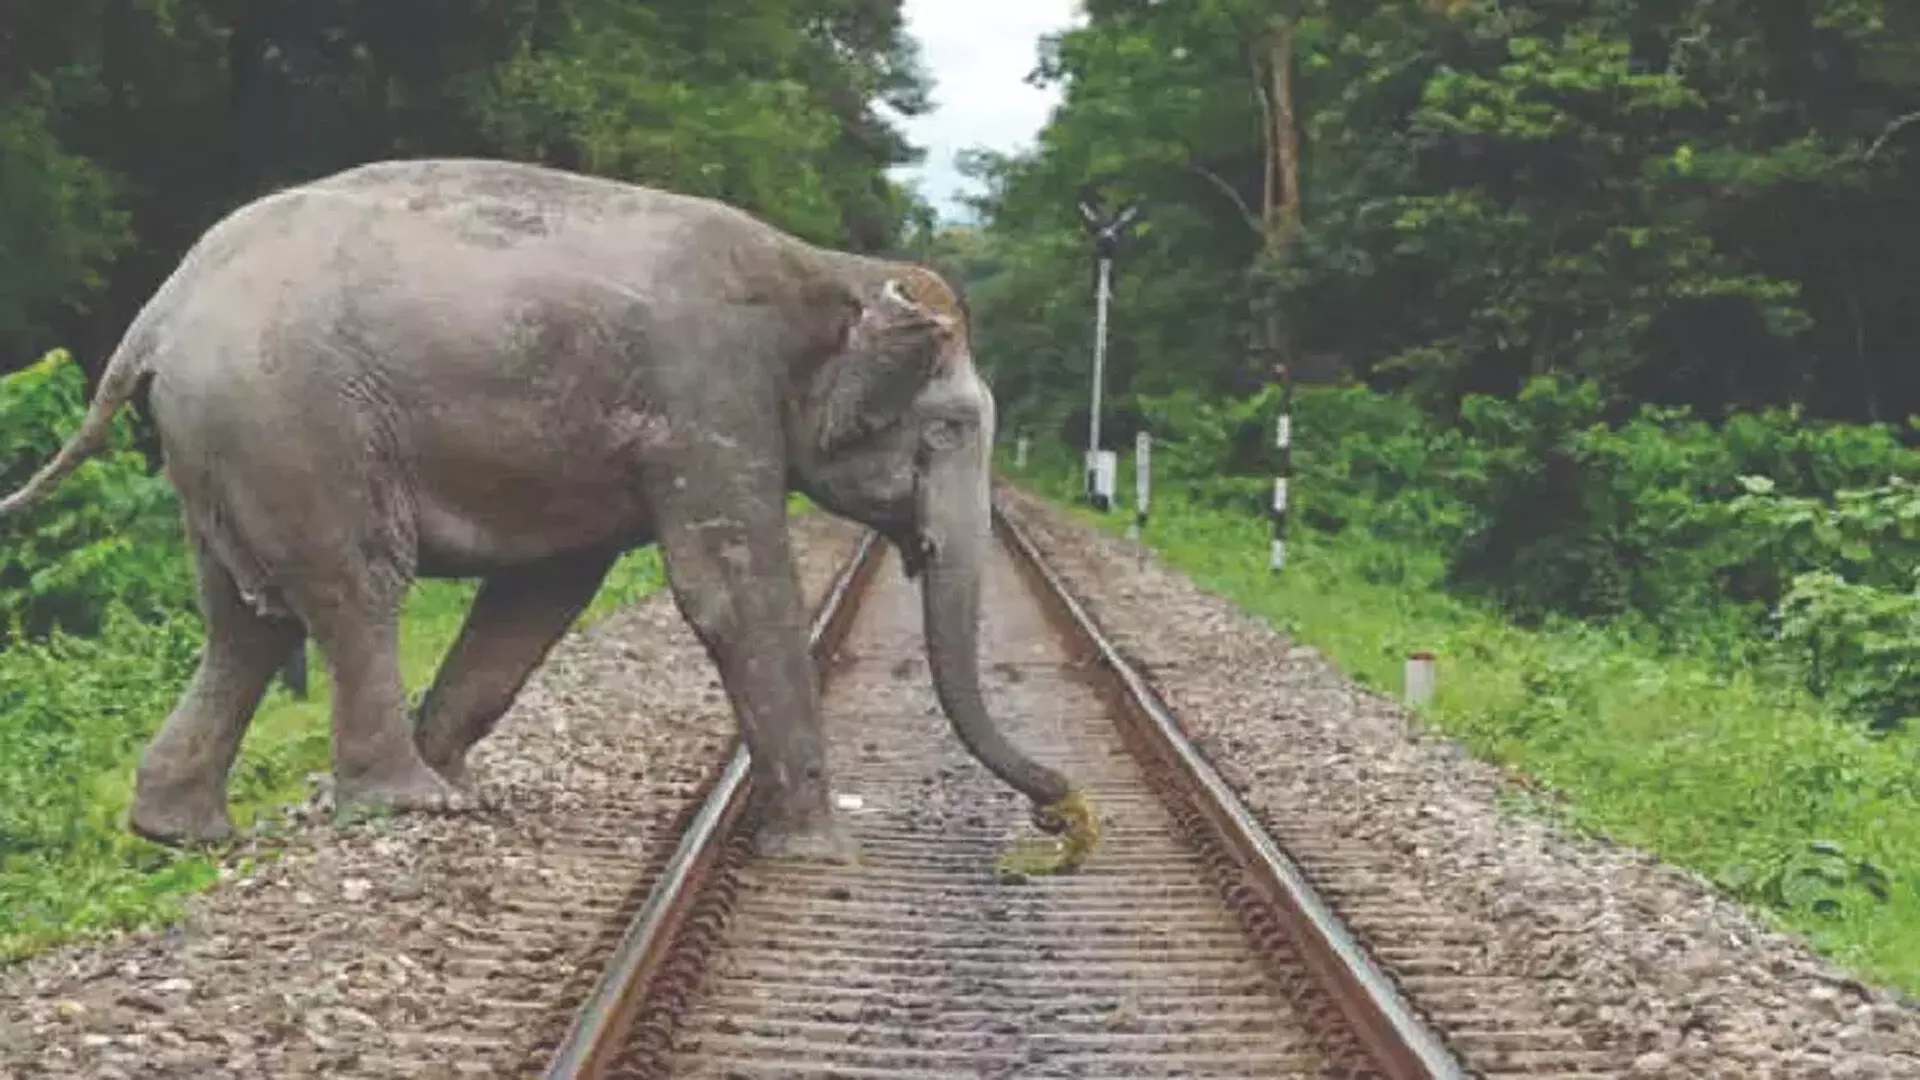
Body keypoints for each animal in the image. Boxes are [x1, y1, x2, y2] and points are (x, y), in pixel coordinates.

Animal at [3, 155, 1098, 860]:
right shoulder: (705, 396)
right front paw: (821, 851)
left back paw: (186, 830)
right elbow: (730, 593)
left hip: (225, 441)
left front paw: (462, 770)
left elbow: (540, 597)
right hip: (293, 420)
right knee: (355, 590)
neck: (825, 267)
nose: (1066, 817)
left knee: (246, 622)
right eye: (949, 430)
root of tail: (158, 314)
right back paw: (409, 807)